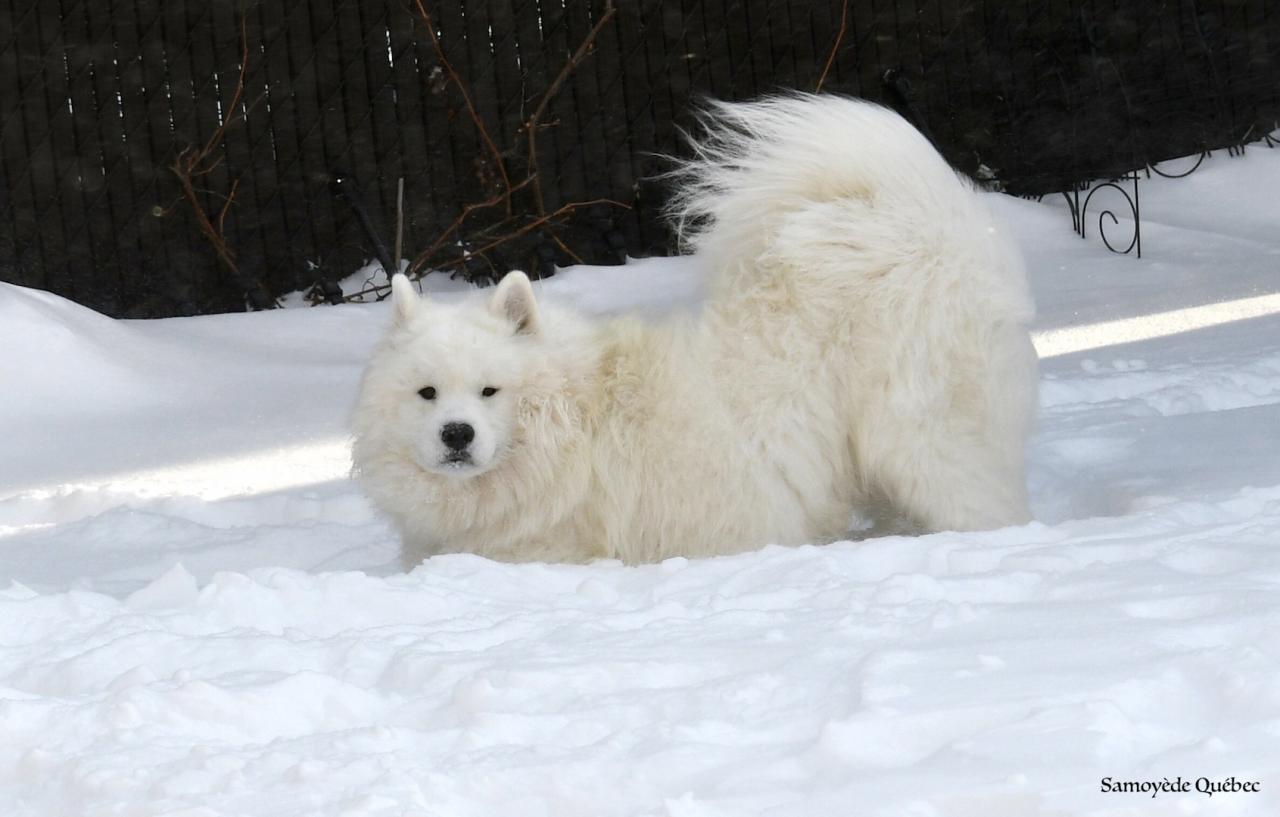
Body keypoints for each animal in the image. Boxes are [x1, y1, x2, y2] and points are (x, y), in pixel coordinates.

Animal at [350, 92, 1039, 566]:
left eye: (490, 392)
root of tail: (920, 225)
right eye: (427, 394)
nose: (457, 434)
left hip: (918, 440)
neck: (573, 424)